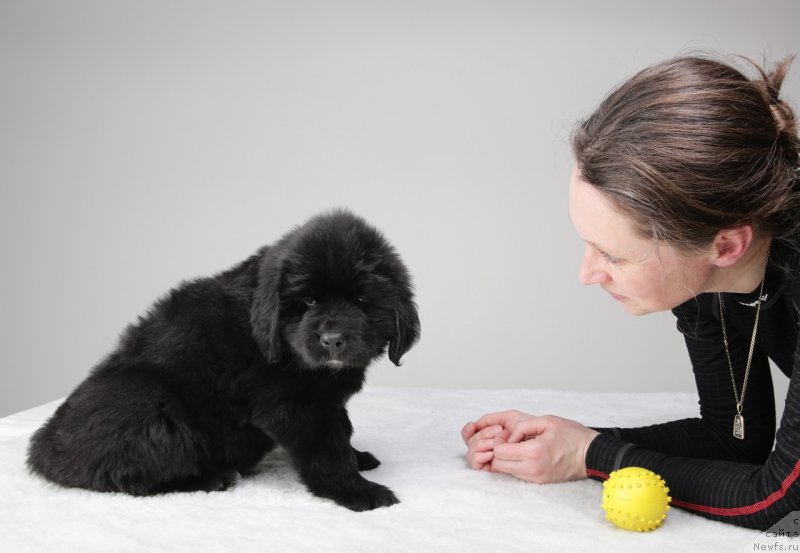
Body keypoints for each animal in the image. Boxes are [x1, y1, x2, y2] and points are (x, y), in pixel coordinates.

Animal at [26, 209, 418, 512]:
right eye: (308, 302)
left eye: (361, 301)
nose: (333, 340)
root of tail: (43, 451)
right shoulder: (294, 405)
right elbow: (327, 447)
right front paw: (356, 490)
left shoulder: (324, 401)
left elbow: (342, 430)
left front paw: (359, 458)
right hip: (148, 406)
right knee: (130, 478)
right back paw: (214, 477)